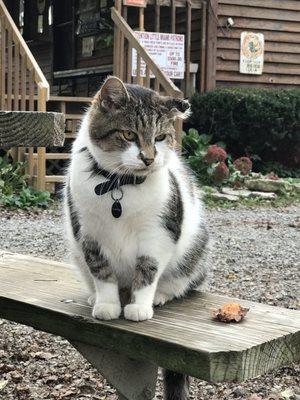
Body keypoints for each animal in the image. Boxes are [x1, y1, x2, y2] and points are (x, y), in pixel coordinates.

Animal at [65, 76, 211, 400]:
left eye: (161, 137)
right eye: (129, 133)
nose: (149, 158)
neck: (120, 186)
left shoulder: (158, 234)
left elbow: (147, 270)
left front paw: (140, 306)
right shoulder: (88, 234)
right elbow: (102, 272)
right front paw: (106, 304)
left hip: (195, 247)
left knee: (181, 281)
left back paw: (161, 295)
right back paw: (95, 295)